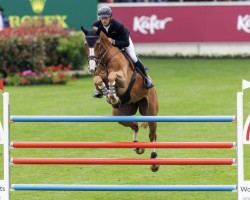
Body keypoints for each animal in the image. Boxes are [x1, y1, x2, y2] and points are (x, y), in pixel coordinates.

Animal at [81, 27, 160, 172]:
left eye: (98, 44)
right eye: (85, 44)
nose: (91, 67)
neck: (105, 60)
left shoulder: (123, 79)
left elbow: (112, 76)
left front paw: (112, 95)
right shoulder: (98, 77)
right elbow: (98, 80)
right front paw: (109, 95)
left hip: (151, 112)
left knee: (152, 135)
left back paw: (154, 161)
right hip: (121, 114)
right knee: (134, 125)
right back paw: (138, 147)